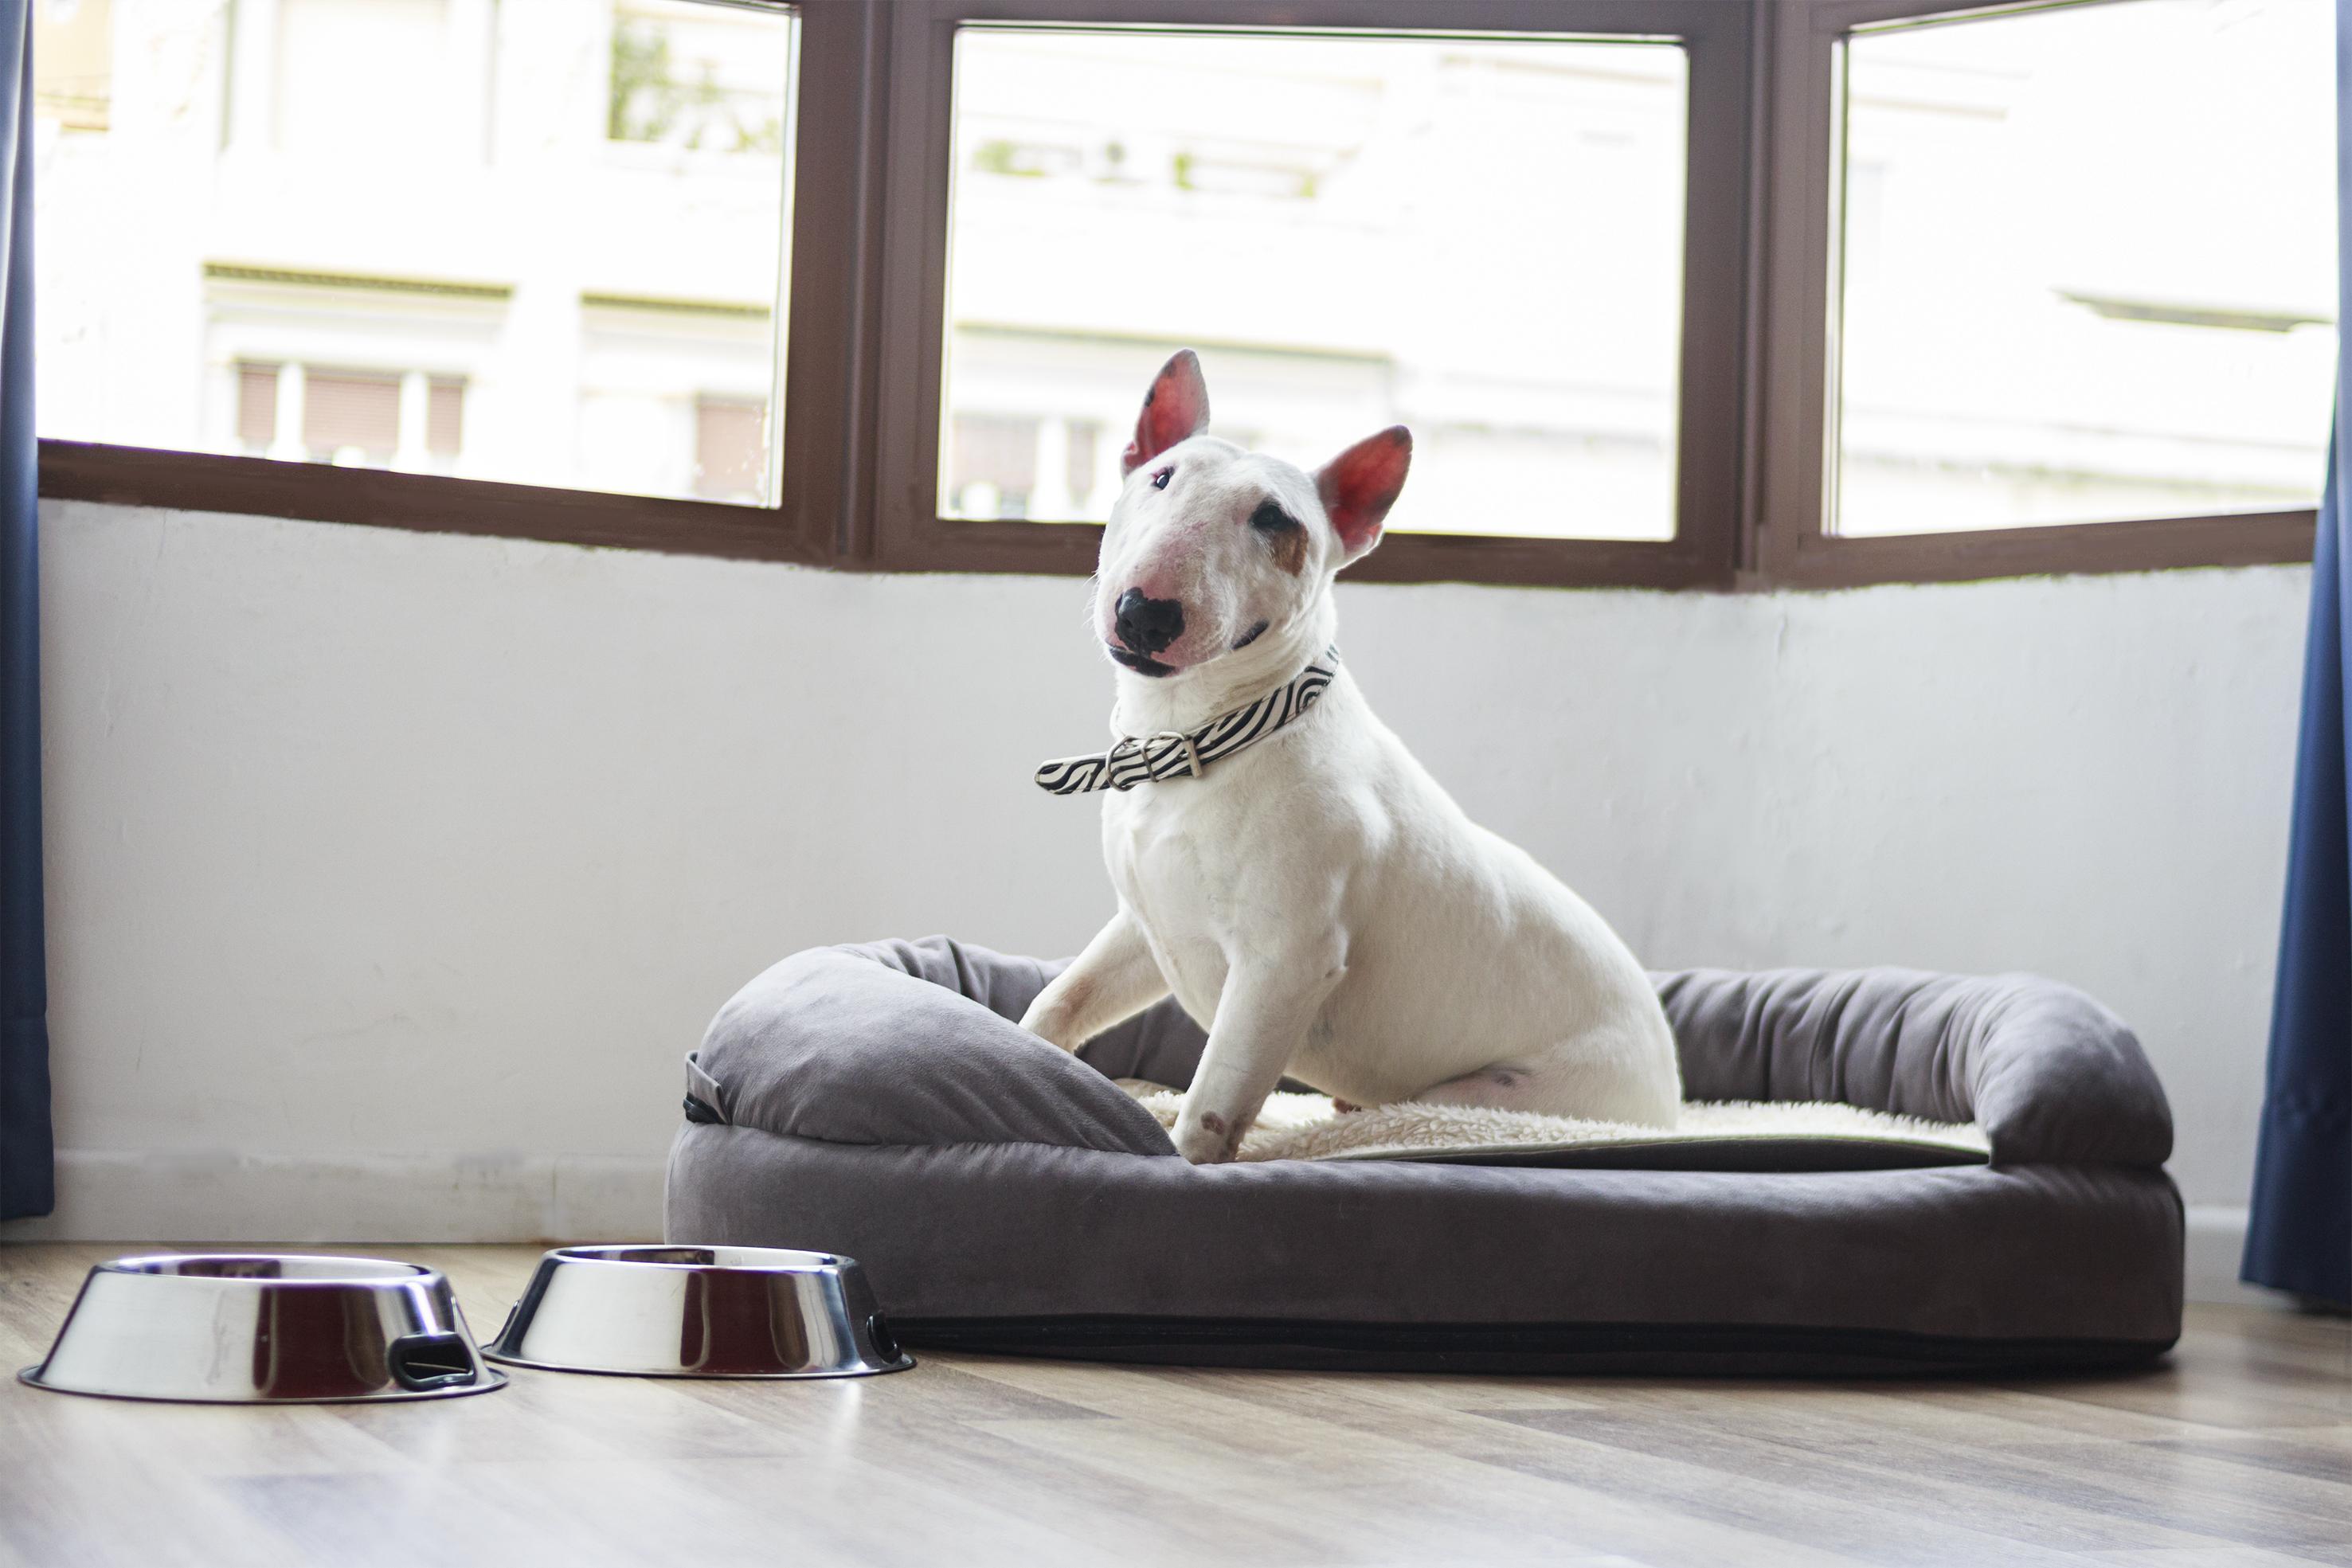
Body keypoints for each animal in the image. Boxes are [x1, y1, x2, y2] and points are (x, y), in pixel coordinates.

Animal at [1020, 354, 1684, 1166]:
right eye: (1160, 479)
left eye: (1274, 520)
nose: (1144, 613)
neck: (1203, 734)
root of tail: (1669, 1091)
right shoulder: (1144, 925)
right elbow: (1060, 998)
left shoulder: (1285, 962)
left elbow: (1210, 1105)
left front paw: (1183, 1156)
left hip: (1488, 1096)